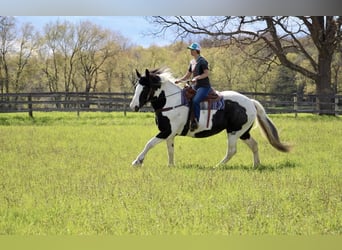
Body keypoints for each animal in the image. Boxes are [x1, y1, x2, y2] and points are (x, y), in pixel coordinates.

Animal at [130, 67, 290, 168]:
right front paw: (171, 165)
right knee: (254, 145)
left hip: (234, 132)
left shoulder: (166, 132)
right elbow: (170, 149)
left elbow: (149, 144)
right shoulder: (169, 134)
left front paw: (137, 161)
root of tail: (250, 102)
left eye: (145, 87)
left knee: (232, 151)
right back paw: (256, 165)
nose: (133, 106)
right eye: (136, 87)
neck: (171, 101)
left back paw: (217, 166)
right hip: (244, 132)